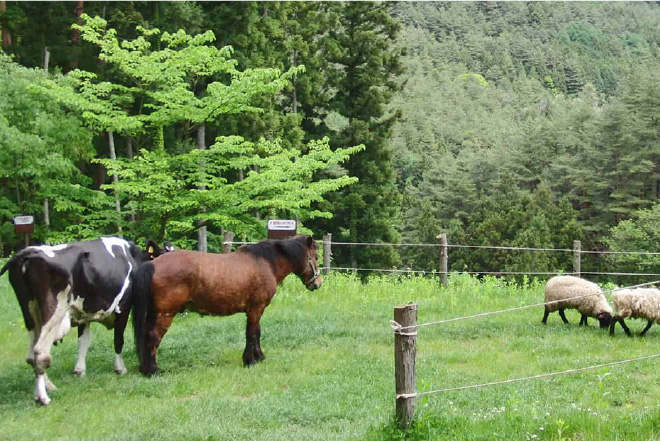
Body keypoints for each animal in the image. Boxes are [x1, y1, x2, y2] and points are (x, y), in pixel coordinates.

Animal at [0, 235, 170, 404]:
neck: (132, 256)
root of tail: (27, 253)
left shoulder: (83, 313)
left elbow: (84, 341)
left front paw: (80, 370)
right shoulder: (124, 306)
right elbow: (118, 340)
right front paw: (120, 368)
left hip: (29, 312)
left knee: (31, 355)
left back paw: (48, 386)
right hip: (54, 311)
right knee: (40, 352)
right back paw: (43, 397)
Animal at [131, 235, 322, 372]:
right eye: (316, 256)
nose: (318, 283)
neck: (265, 263)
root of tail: (153, 264)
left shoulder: (256, 310)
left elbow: (257, 333)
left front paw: (259, 356)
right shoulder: (256, 309)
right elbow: (251, 334)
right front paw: (250, 360)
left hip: (153, 313)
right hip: (166, 314)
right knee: (153, 337)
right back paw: (153, 370)